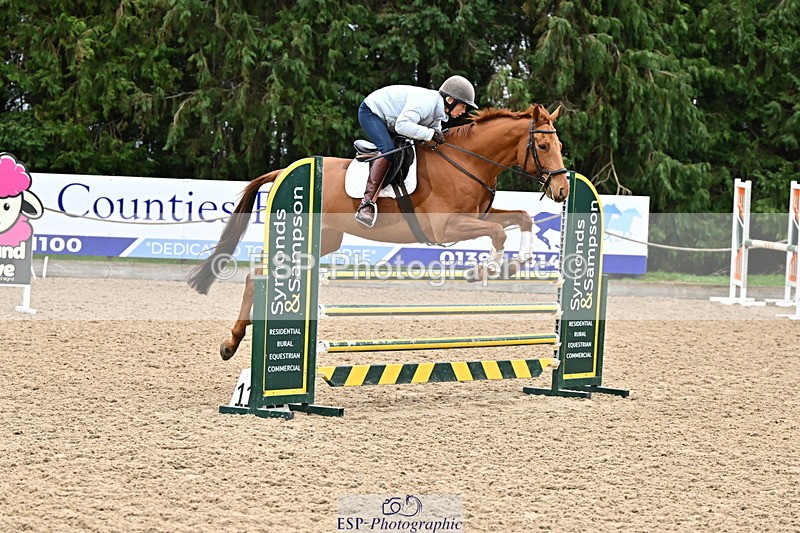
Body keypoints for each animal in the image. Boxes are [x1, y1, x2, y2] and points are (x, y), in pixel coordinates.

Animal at [189, 103, 569, 360]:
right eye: (544, 146)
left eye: (560, 146)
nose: (563, 190)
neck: (468, 161)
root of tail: (284, 170)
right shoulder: (446, 227)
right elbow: (498, 233)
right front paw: (485, 269)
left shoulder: (479, 216)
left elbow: (522, 218)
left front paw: (518, 263)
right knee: (256, 275)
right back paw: (231, 342)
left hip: (323, 240)